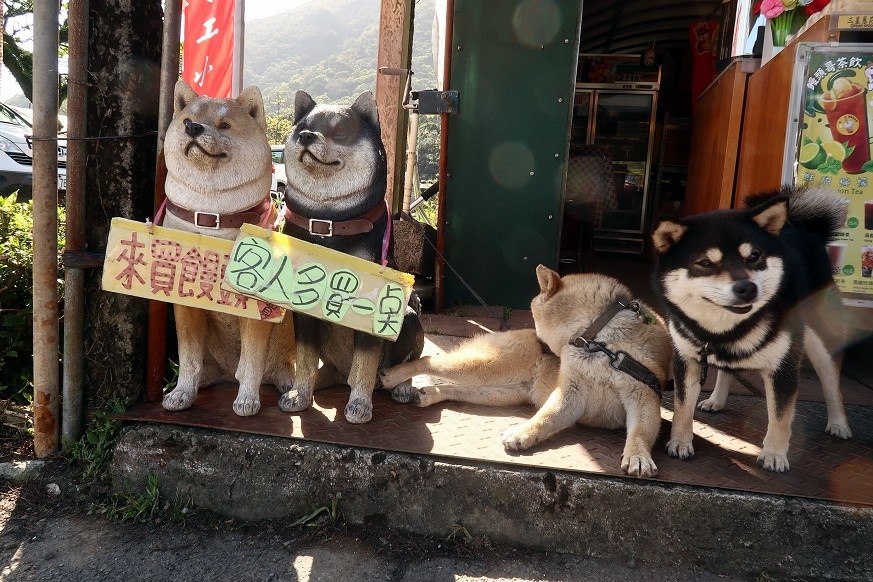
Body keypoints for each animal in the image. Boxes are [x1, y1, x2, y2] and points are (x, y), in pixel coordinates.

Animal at [378, 264, 672, 480]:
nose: (539, 344)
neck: (600, 341)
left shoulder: (642, 395)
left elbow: (640, 431)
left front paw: (638, 456)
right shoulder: (571, 394)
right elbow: (546, 417)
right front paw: (522, 433)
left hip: (497, 392)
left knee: (454, 387)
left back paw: (430, 394)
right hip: (488, 369)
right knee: (430, 359)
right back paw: (395, 375)